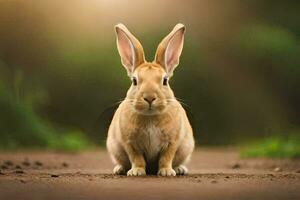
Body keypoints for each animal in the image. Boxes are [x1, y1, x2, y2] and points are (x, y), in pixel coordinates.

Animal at [106, 23, 195, 177]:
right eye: (134, 81)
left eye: (165, 81)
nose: (149, 97)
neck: (150, 116)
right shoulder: (130, 143)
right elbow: (137, 158)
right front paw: (136, 172)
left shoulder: (172, 142)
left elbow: (166, 158)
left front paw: (166, 172)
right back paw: (120, 169)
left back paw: (179, 169)